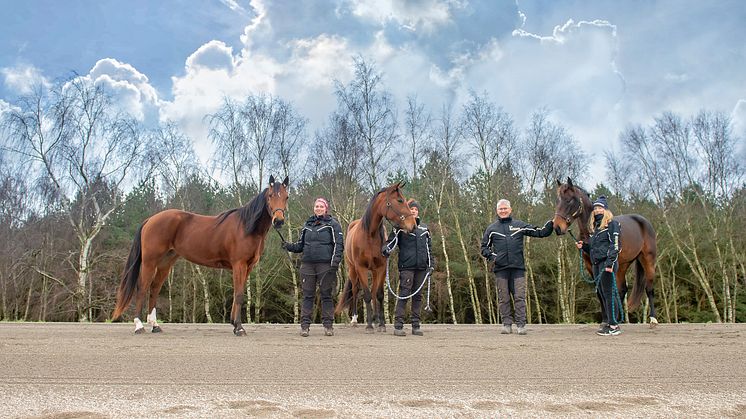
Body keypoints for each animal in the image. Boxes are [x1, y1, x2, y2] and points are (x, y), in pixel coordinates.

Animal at [112, 176, 290, 336]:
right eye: (270, 196)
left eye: (286, 197)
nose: (279, 221)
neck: (246, 226)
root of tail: (150, 219)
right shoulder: (239, 264)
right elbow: (239, 295)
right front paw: (239, 328)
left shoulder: (248, 267)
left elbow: (236, 294)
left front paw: (234, 324)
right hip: (150, 262)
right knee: (142, 288)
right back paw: (139, 326)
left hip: (165, 263)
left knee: (154, 288)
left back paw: (155, 325)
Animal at [334, 182, 416, 334]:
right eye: (400, 200)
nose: (413, 225)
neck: (369, 235)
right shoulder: (361, 268)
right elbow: (366, 294)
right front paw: (369, 326)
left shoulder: (381, 268)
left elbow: (378, 295)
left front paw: (381, 324)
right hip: (353, 270)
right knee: (356, 290)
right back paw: (355, 320)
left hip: (373, 271)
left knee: (373, 293)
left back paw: (376, 320)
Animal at [548, 179, 652, 326]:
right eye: (558, 201)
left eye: (569, 200)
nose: (557, 227)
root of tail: (643, 221)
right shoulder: (591, 266)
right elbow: (600, 292)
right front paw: (605, 320)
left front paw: (608, 320)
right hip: (623, 265)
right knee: (622, 289)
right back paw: (618, 318)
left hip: (647, 260)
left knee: (649, 288)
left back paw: (653, 320)